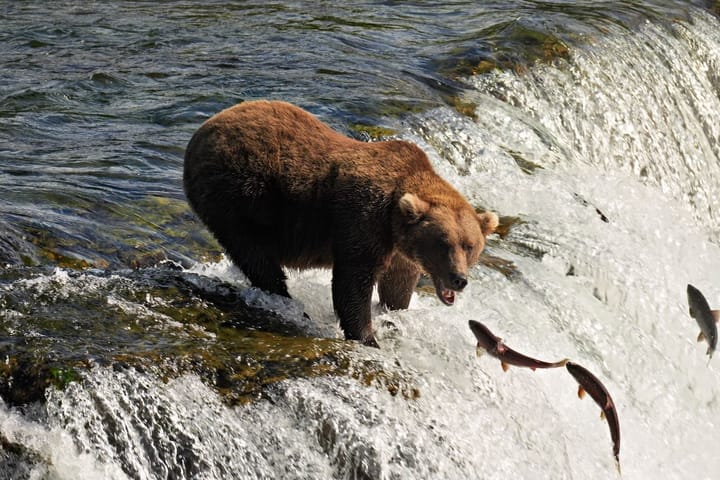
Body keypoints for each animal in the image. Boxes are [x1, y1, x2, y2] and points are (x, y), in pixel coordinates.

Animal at [183, 100, 498, 347]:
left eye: (469, 246)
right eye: (443, 243)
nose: (459, 279)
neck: (394, 220)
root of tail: (202, 130)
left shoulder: (399, 248)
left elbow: (397, 283)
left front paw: (393, 315)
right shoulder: (363, 218)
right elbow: (353, 281)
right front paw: (368, 337)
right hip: (241, 193)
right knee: (256, 256)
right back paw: (290, 303)